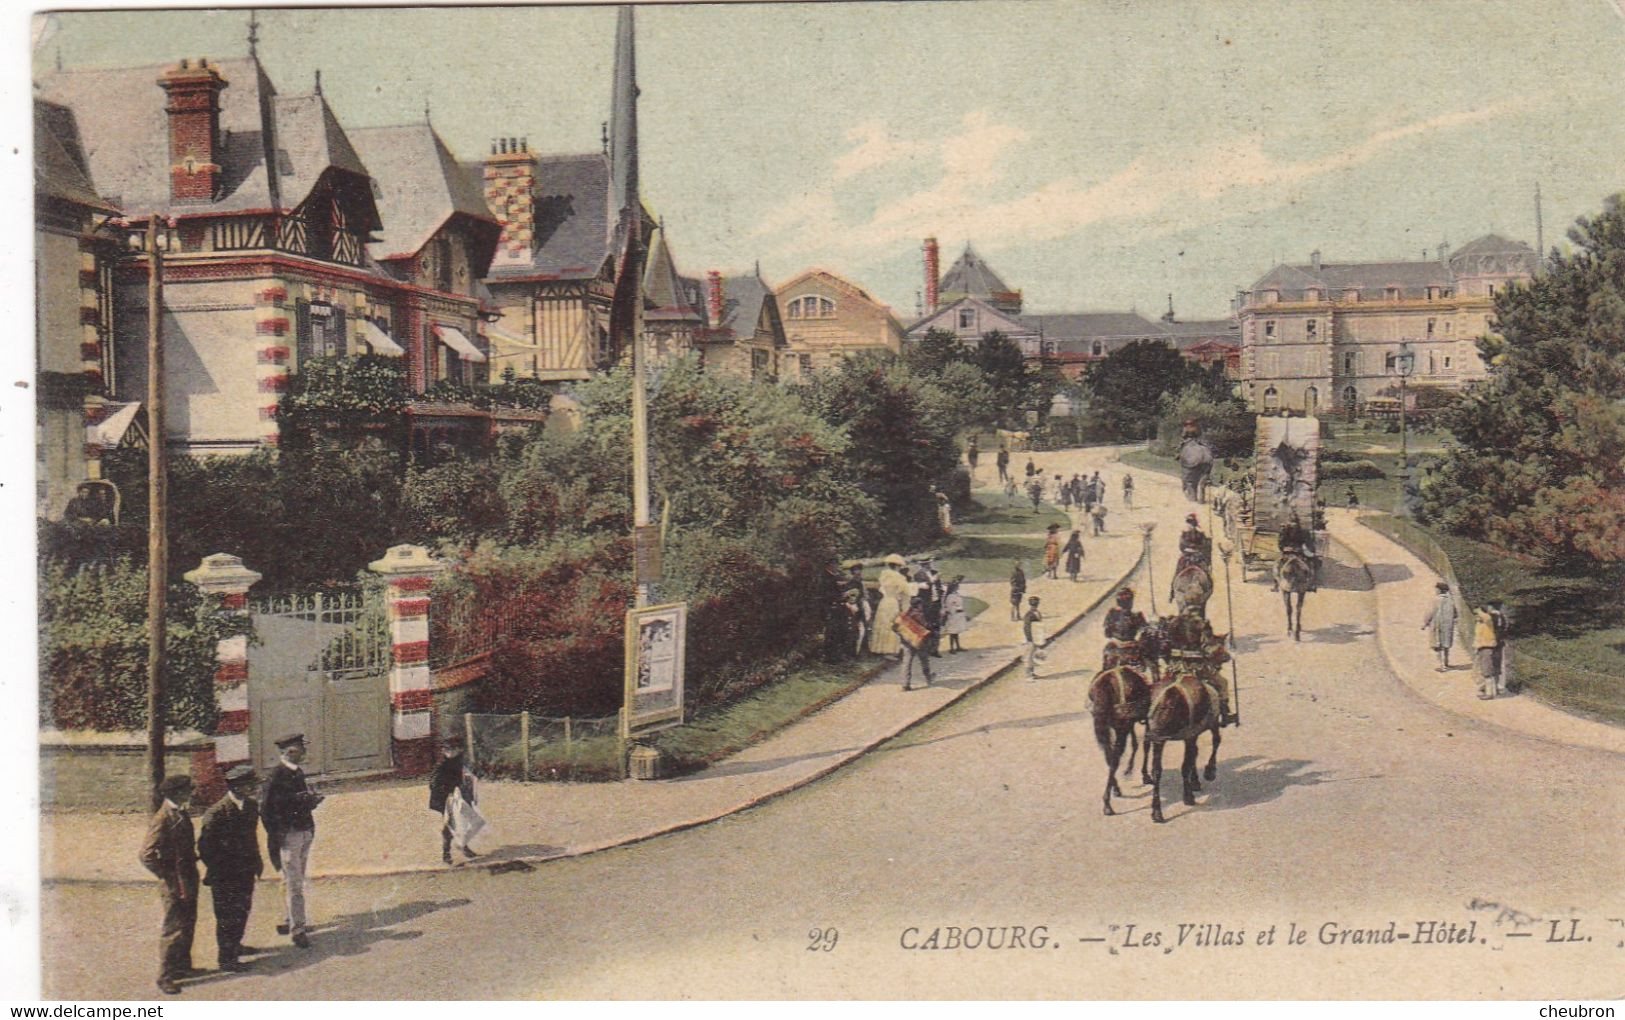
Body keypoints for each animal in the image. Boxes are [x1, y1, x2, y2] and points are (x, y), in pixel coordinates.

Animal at [1092, 665, 1157, 815]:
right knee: (1115, 758)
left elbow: (1135, 743)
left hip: (1108, 727)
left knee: (1109, 756)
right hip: (1121, 727)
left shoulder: (1128, 722)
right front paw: (1145, 776)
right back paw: (1107, 804)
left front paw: (1129, 770)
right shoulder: (1143, 720)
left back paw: (1115, 790)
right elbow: (1145, 745)